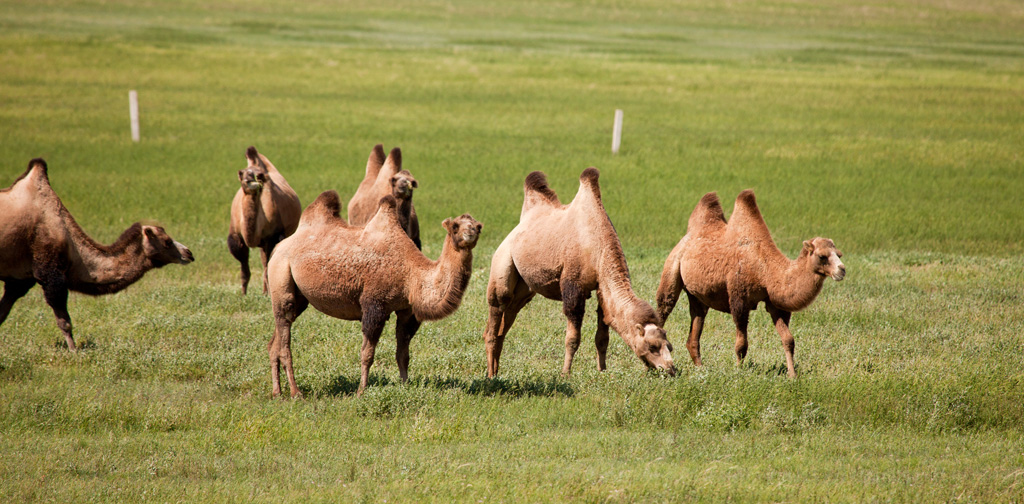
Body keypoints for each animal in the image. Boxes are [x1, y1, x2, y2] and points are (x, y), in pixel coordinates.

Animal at [0, 157, 194, 350]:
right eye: (167, 241)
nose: (189, 253)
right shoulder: (50, 274)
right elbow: (65, 322)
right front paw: (74, 351)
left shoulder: (19, 280)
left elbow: (2, 313)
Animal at [228, 145, 299, 295]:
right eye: (242, 174)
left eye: (256, 175)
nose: (250, 181)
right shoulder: (236, 238)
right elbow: (244, 271)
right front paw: (243, 294)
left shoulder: (273, 236)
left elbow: (268, 267)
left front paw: (267, 295)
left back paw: (266, 291)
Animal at [264, 189, 479, 397]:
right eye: (455, 226)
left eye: (478, 226)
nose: (471, 232)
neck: (410, 274)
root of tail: (278, 248)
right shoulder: (375, 305)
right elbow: (367, 354)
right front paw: (361, 391)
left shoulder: (407, 311)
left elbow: (403, 354)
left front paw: (405, 385)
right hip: (281, 273)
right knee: (284, 340)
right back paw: (295, 392)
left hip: (299, 295)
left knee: (275, 341)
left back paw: (277, 392)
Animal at [483, 169, 675, 376]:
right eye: (652, 346)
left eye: (669, 346)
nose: (671, 369)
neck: (597, 246)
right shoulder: (573, 286)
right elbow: (573, 338)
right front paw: (565, 373)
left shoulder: (601, 288)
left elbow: (602, 336)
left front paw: (602, 371)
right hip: (502, 262)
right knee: (495, 315)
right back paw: (491, 375)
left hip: (524, 289)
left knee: (505, 322)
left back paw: (496, 371)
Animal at [655, 189, 847, 376]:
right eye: (822, 256)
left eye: (839, 254)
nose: (842, 270)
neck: (764, 269)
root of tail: (689, 235)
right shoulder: (739, 299)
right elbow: (741, 345)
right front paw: (739, 371)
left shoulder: (773, 303)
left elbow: (788, 340)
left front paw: (792, 375)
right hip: (672, 267)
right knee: (664, 307)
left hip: (698, 294)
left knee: (695, 325)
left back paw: (701, 369)